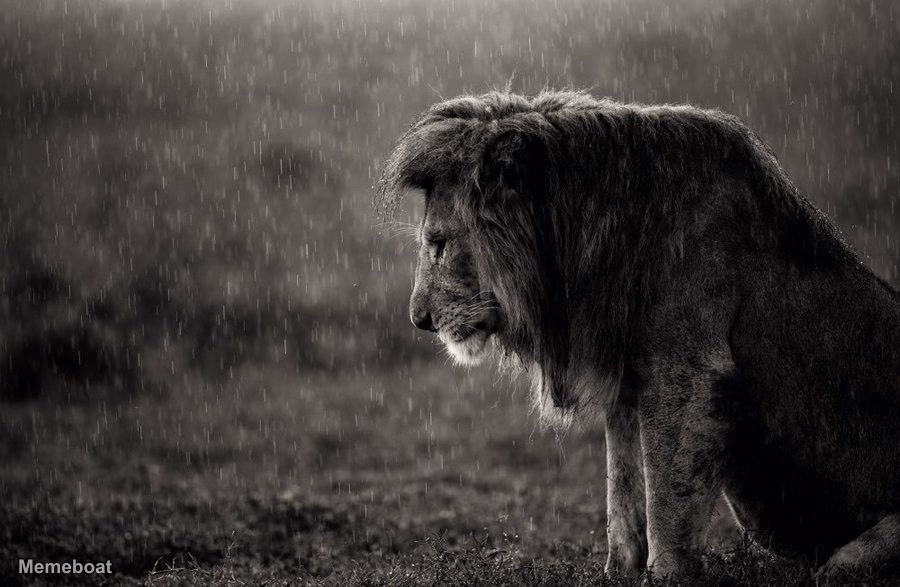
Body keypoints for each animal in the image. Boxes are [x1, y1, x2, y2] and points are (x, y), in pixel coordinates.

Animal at [376, 90, 900, 580]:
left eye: (439, 244)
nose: (419, 320)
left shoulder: (687, 375)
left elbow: (666, 500)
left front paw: (666, 575)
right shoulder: (627, 378)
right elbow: (623, 488)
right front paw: (617, 572)